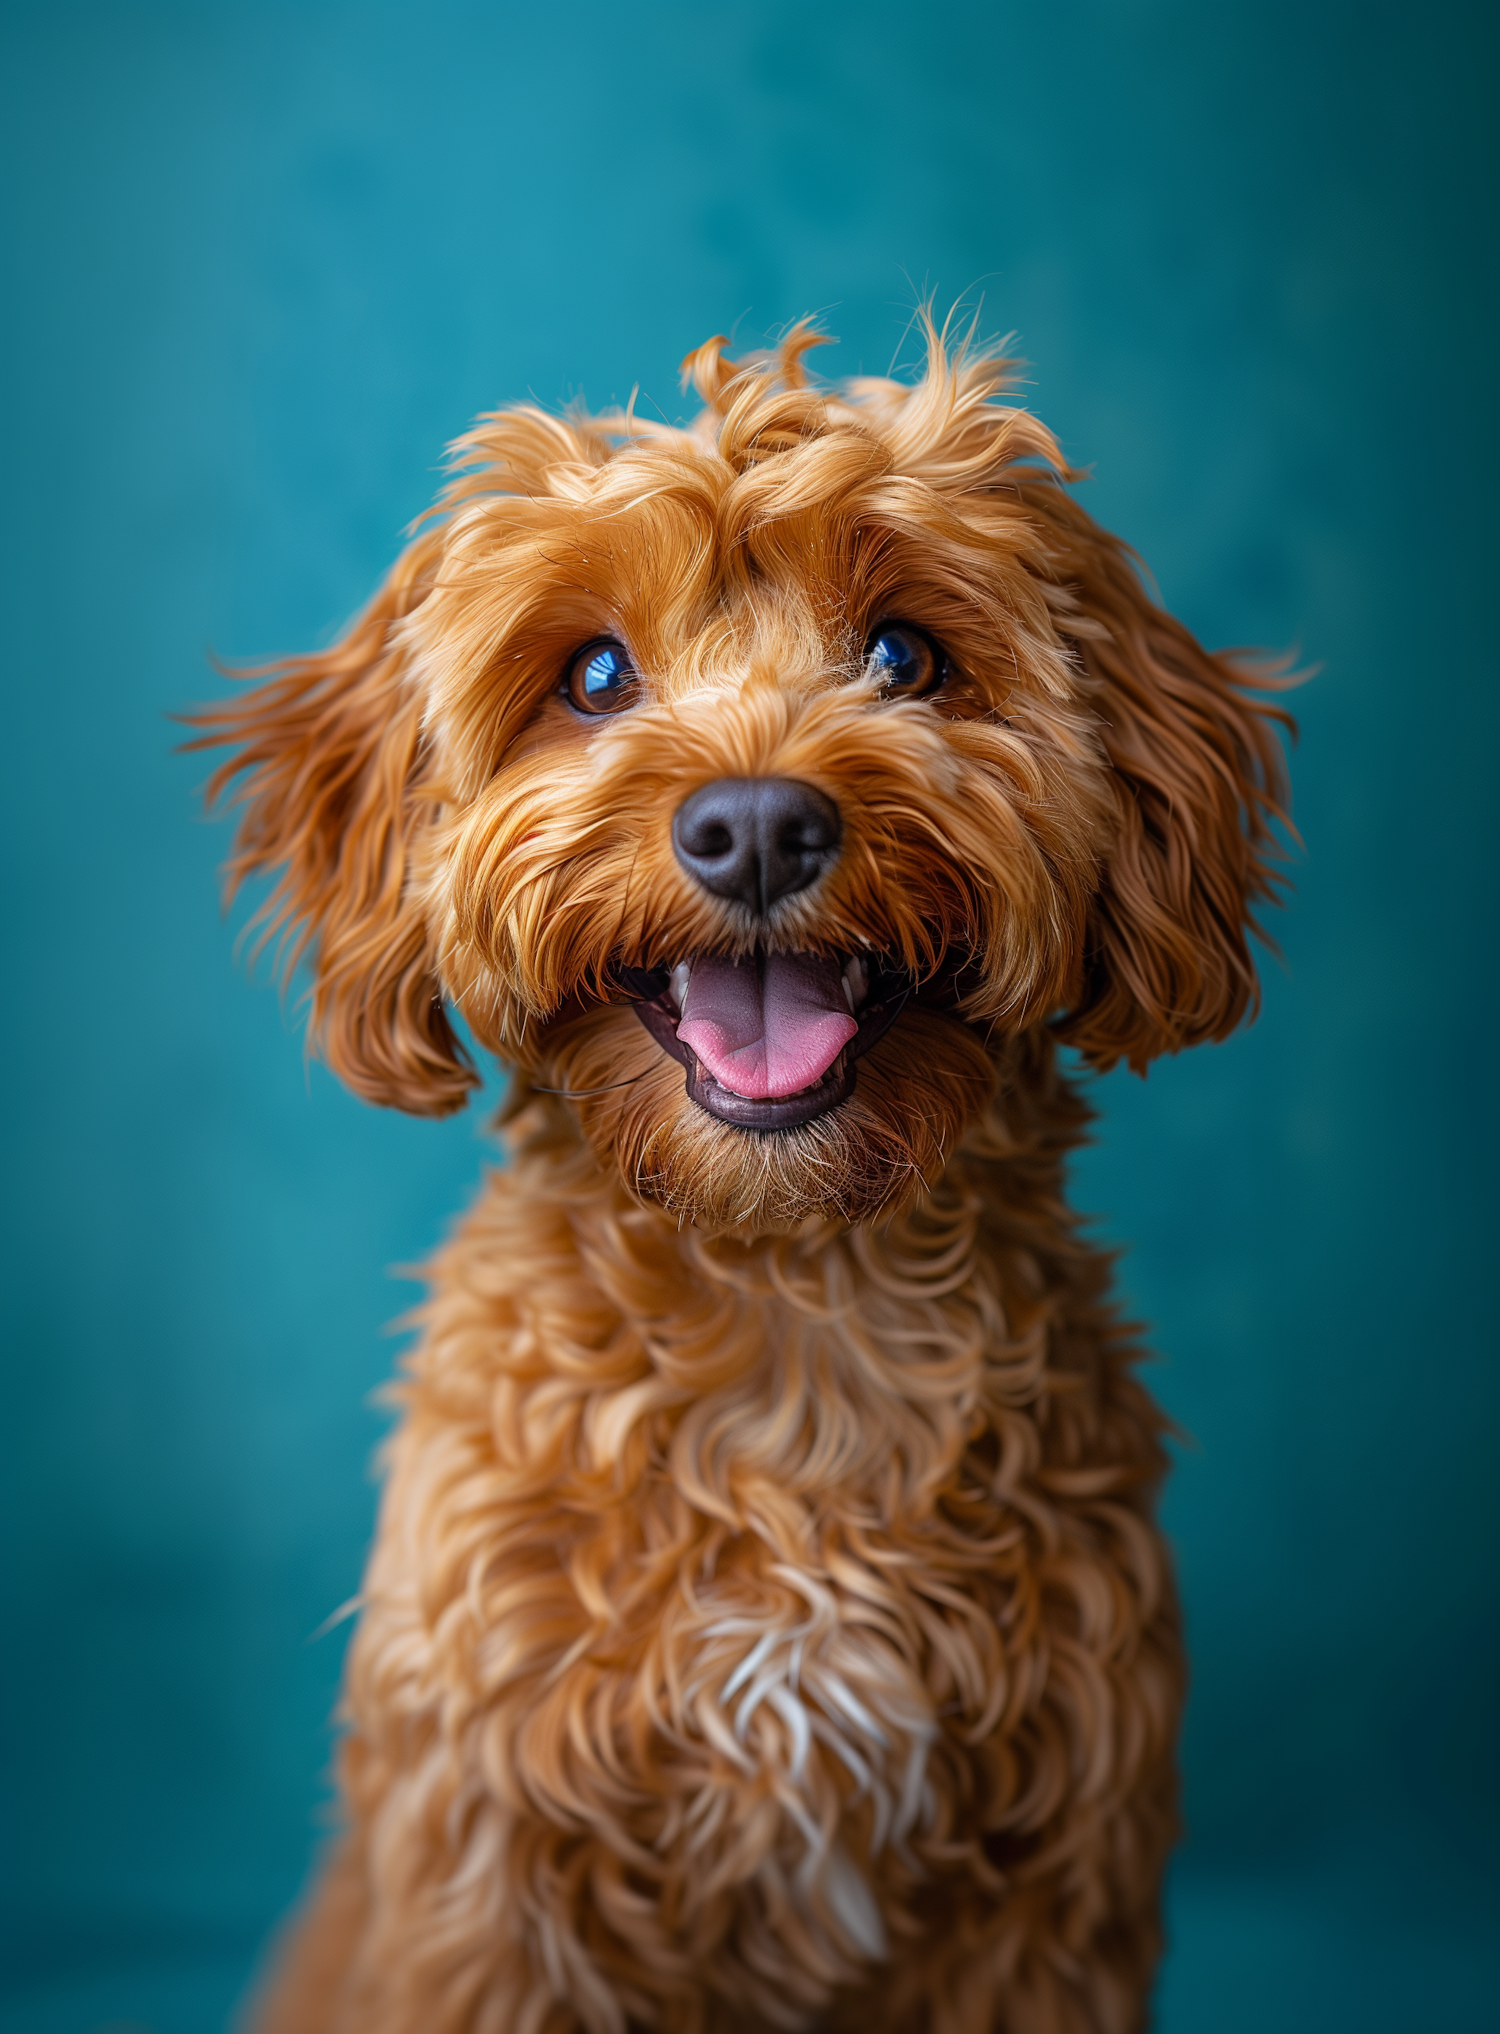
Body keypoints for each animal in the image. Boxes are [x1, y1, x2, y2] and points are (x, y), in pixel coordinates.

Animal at [190, 321, 1286, 2033]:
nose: (759, 822)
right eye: (592, 677)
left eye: (905, 656)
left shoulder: (1052, 1884)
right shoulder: (495, 1876)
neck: (791, 1298)